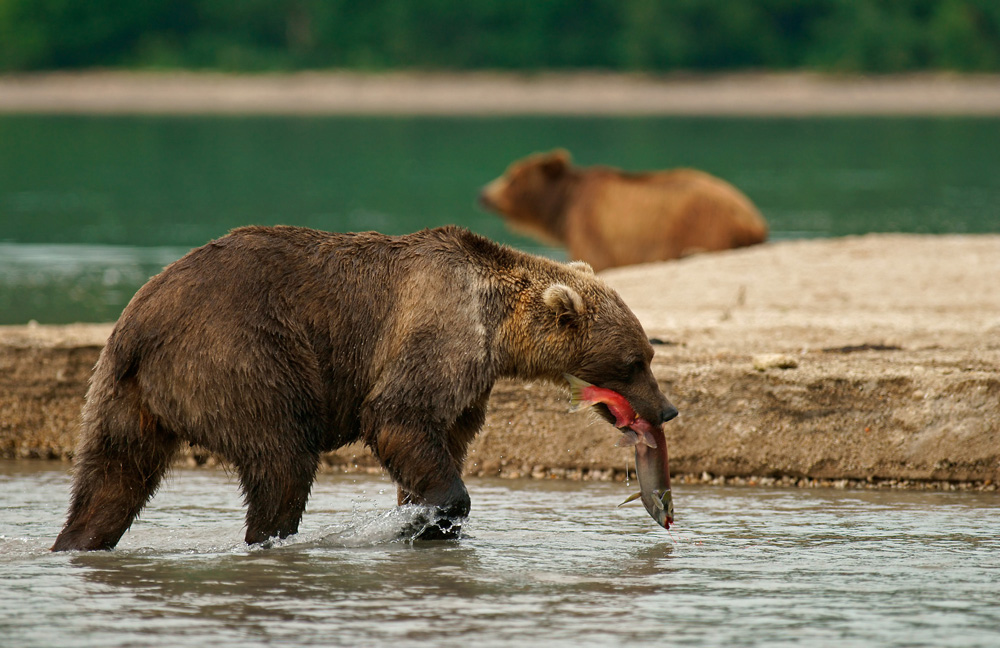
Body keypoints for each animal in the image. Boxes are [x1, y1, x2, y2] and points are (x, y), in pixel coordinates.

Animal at [54, 225, 680, 548]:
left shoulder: (470, 382)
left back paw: (79, 540)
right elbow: (397, 415)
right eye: (634, 361)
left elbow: (439, 438)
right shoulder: (440, 332)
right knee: (282, 458)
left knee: (112, 476)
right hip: (241, 355)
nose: (668, 409)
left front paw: (424, 517)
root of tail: (143, 321)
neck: (496, 324)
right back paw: (270, 537)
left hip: (123, 391)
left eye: (649, 354)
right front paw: (438, 513)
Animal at [480, 149, 768, 270]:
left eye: (512, 177)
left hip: (704, 224)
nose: (484, 194)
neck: (563, 205)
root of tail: (753, 218)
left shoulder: (592, 229)